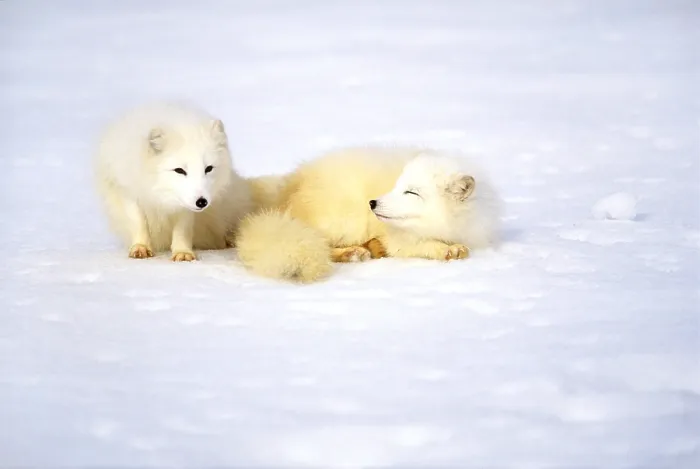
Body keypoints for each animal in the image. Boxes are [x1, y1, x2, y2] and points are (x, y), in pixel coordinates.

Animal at [94, 101, 253, 261]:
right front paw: (141, 247)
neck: (160, 194)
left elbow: (182, 229)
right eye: (179, 170)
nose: (202, 202)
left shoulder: (185, 207)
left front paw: (182, 252)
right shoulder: (128, 191)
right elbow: (139, 223)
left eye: (208, 168)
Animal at [235, 146, 502, 282]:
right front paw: (448, 250)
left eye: (411, 192)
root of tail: (286, 189)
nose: (372, 203)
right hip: (345, 219)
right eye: (396, 186)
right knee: (322, 244)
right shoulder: (397, 238)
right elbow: (418, 246)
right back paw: (353, 252)